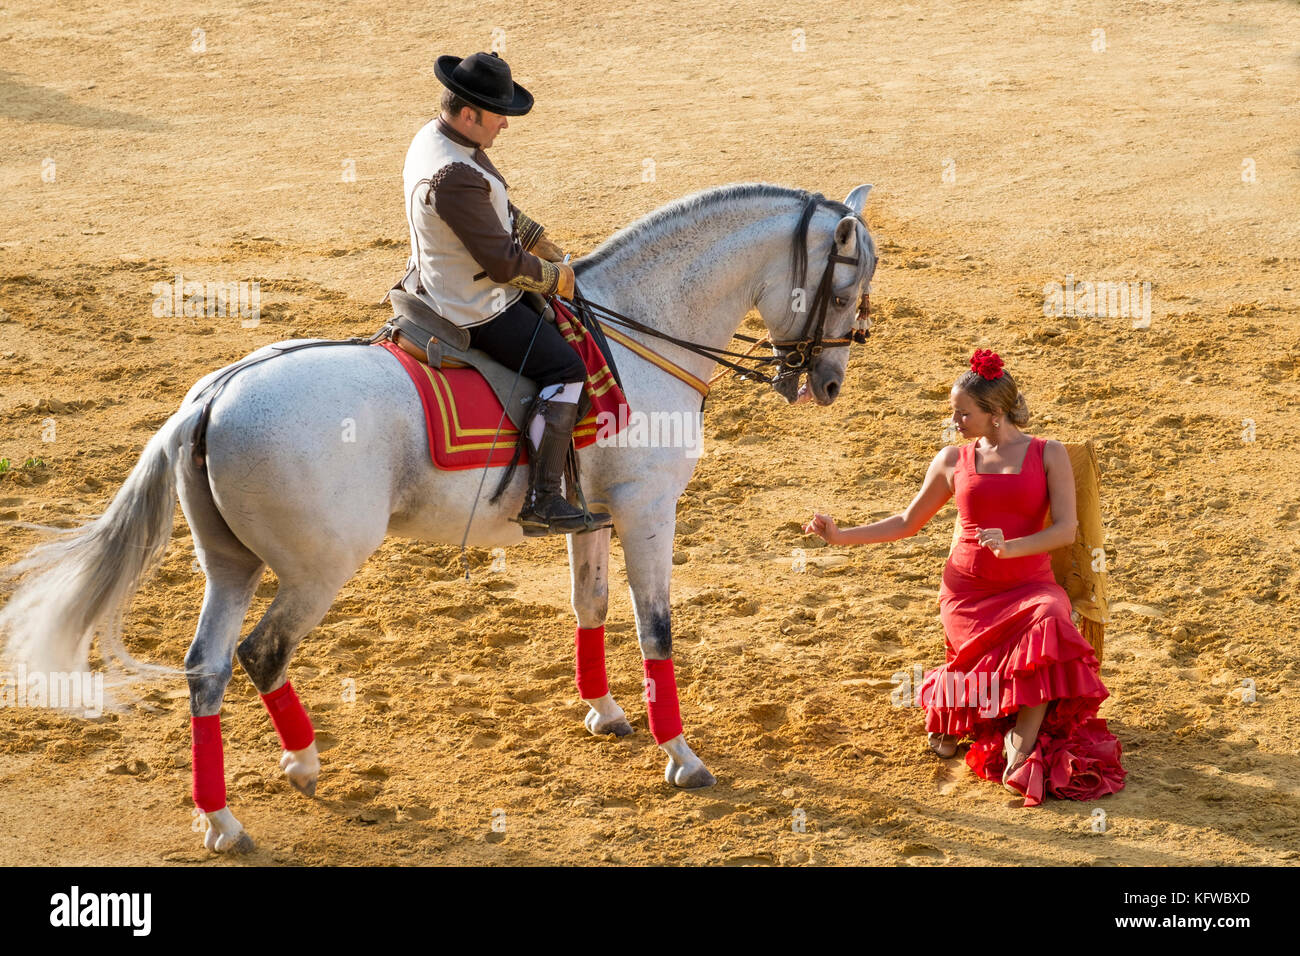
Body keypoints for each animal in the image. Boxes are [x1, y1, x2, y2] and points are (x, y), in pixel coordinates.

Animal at [0, 179, 878, 853]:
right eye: (842, 290)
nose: (829, 382)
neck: (639, 332)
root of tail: (213, 396)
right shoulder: (645, 507)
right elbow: (656, 627)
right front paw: (683, 757)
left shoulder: (590, 516)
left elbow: (589, 607)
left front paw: (603, 713)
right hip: (318, 567)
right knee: (262, 653)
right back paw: (303, 767)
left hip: (231, 565)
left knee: (207, 668)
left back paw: (224, 821)